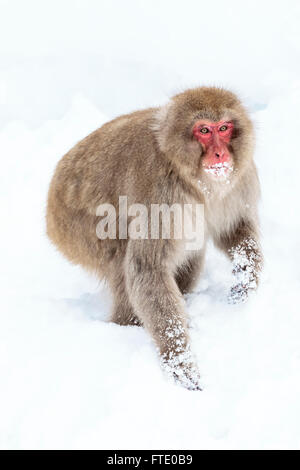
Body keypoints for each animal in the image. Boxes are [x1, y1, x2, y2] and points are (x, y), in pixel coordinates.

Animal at [47, 87, 262, 390]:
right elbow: (147, 269)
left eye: (224, 128)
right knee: (124, 267)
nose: (220, 153)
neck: (190, 176)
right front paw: (179, 360)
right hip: (76, 229)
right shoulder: (159, 194)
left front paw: (246, 278)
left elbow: (235, 231)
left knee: (190, 256)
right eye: (204, 130)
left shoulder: (240, 179)